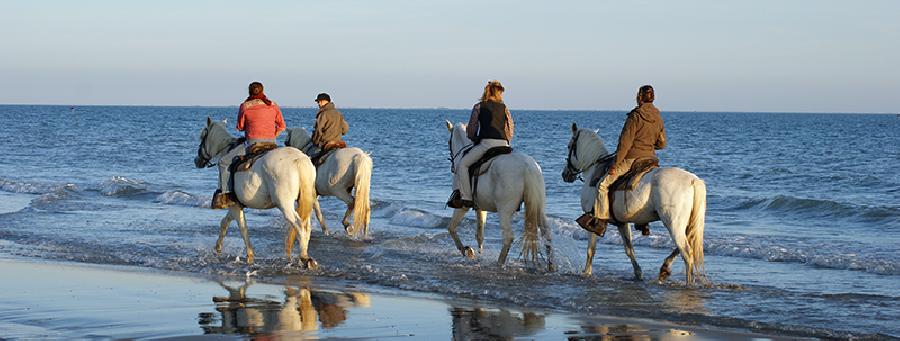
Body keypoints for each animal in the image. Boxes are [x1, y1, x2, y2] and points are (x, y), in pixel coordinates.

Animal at [194, 118, 320, 266]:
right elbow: (225, 222)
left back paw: (304, 257)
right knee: (307, 226)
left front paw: (249, 254)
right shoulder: (235, 205)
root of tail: (298, 159)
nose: (197, 160)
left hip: (285, 205)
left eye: (202, 137)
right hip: (306, 200)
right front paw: (218, 248)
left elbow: (242, 227)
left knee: (299, 225)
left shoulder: (234, 205)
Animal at [444, 121, 552, 270]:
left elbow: (451, 228)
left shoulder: (462, 206)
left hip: (504, 211)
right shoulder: (480, 207)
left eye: (449, 141)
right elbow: (480, 232)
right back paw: (552, 267)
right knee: (547, 234)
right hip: (538, 207)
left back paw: (499, 263)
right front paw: (478, 251)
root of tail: (527, 166)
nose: (453, 167)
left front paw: (466, 250)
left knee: (508, 237)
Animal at [564, 122, 704, 282]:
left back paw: (687, 282)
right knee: (686, 245)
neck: (594, 171)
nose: (565, 174)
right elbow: (629, 249)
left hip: (673, 224)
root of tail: (693, 180)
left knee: (687, 253)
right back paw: (664, 268)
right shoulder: (621, 222)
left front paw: (586, 273)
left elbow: (591, 250)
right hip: (685, 224)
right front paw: (638, 273)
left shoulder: (592, 221)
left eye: (569, 146)